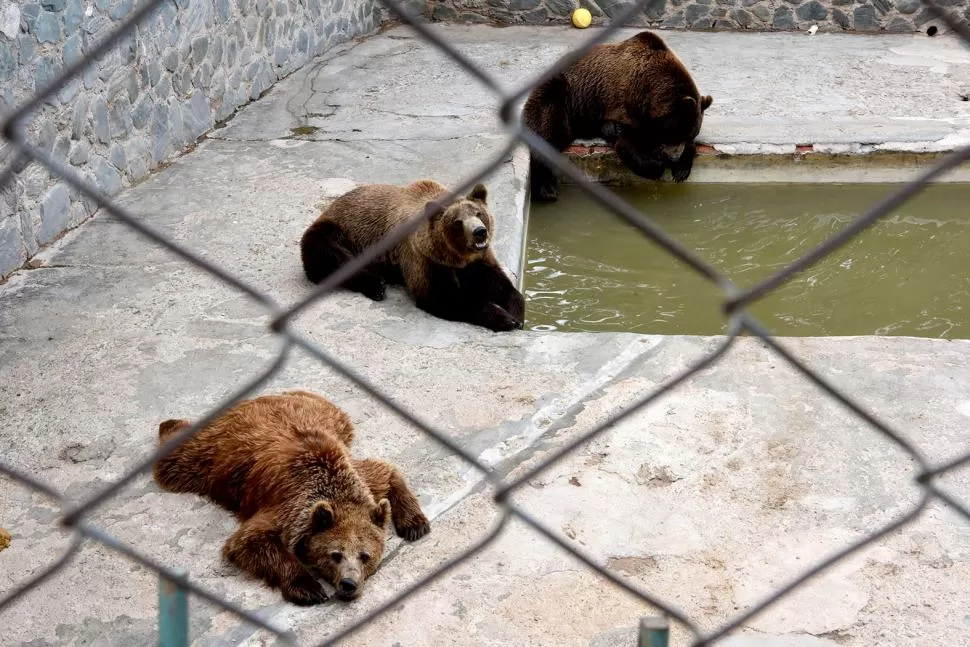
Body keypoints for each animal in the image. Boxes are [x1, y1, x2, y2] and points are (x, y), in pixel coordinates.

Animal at [153, 390, 430, 608]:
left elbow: (382, 472)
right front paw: (309, 588)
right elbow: (251, 541)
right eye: (335, 554)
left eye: (365, 555)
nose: (349, 583)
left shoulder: (356, 476)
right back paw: (168, 424)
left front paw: (414, 523)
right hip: (215, 455)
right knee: (179, 460)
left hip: (330, 418)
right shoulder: (287, 506)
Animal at [300, 181, 520, 334]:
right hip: (337, 231)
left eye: (479, 213)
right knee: (328, 254)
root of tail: (330, 206)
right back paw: (376, 285)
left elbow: (497, 282)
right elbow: (444, 297)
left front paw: (517, 310)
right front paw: (504, 318)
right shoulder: (423, 258)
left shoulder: (476, 260)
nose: (480, 232)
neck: (455, 256)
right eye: (458, 222)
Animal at [520, 30, 712, 201]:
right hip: (561, 94)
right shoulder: (625, 105)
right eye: (676, 133)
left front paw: (681, 169)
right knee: (549, 135)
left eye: (690, 134)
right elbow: (625, 139)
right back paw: (546, 190)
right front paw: (655, 165)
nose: (674, 158)